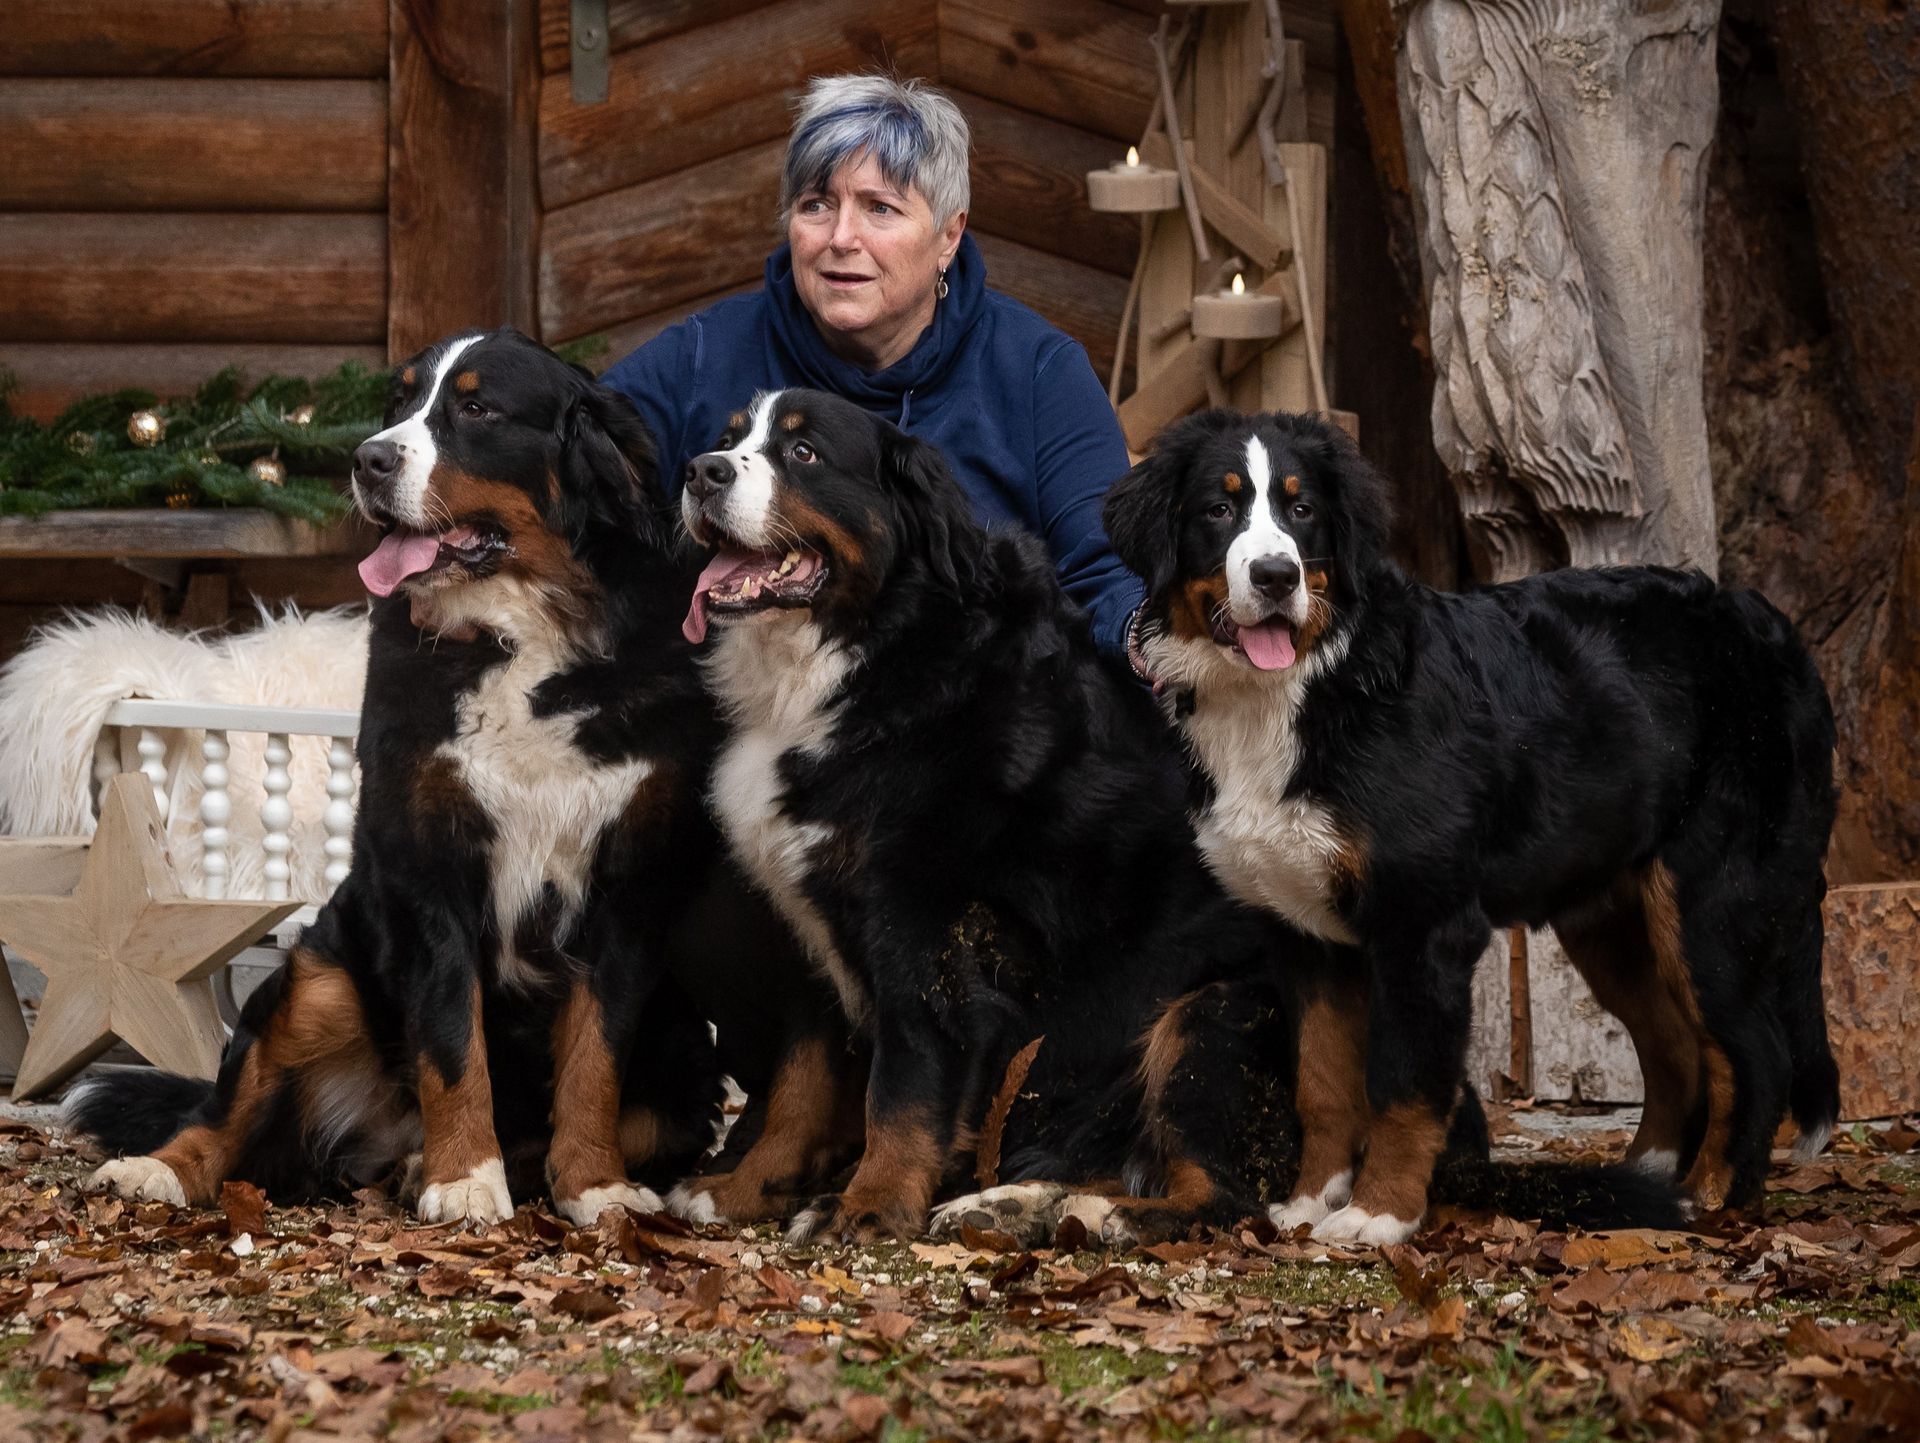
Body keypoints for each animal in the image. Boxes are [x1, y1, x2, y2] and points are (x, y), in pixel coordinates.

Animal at [66, 329, 849, 1226]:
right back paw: (163, 1168)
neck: (520, 637)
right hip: (322, 975)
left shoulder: (624, 886)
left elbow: (594, 1058)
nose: (368, 459)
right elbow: (450, 1038)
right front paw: (465, 1176)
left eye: (475, 408)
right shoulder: (431, 865)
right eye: (399, 402)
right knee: (224, 1108)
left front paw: (594, 1183)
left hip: (682, 1064)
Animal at [1102, 408, 1840, 1244]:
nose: (1276, 577)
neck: (1307, 686)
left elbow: (1403, 1086)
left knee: (1753, 1054)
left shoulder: (1423, 924)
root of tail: (1767, 621)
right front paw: (1310, 1200)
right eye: (1218, 509)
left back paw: (1714, 1194)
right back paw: (1647, 1181)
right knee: (1675, 1046)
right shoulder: (1306, 934)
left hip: (1710, 904)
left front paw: (1379, 1214)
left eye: (1302, 510)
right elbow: (1322, 1081)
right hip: (1613, 919)